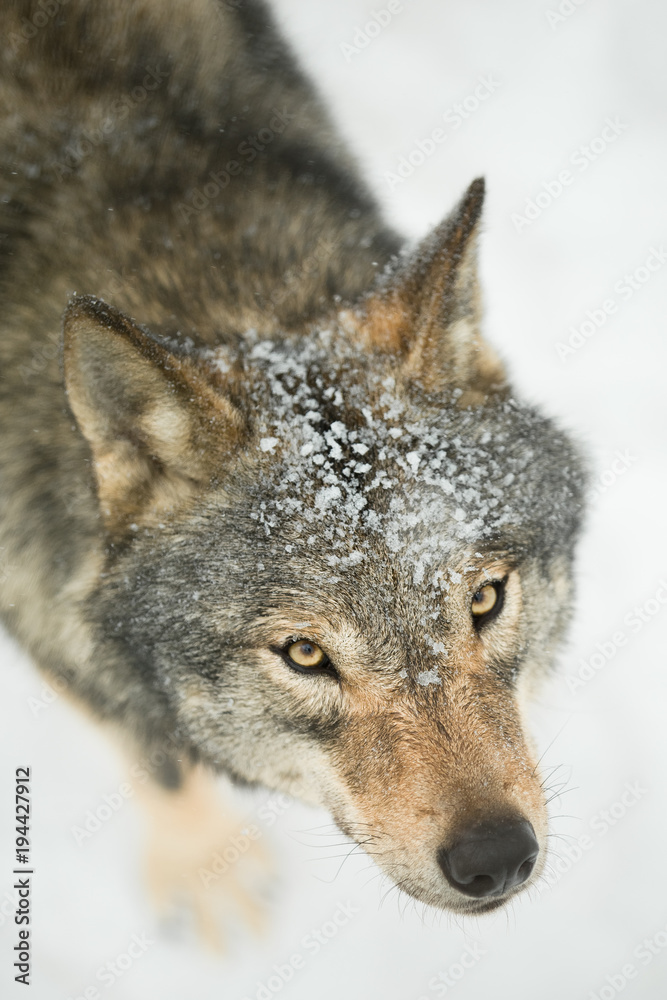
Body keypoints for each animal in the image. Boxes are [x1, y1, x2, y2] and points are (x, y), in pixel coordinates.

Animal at [0, 0, 585, 918]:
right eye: (304, 655)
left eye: (485, 600)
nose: (497, 857)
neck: (218, 290)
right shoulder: (41, 606)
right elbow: (158, 757)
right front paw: (205, 870)